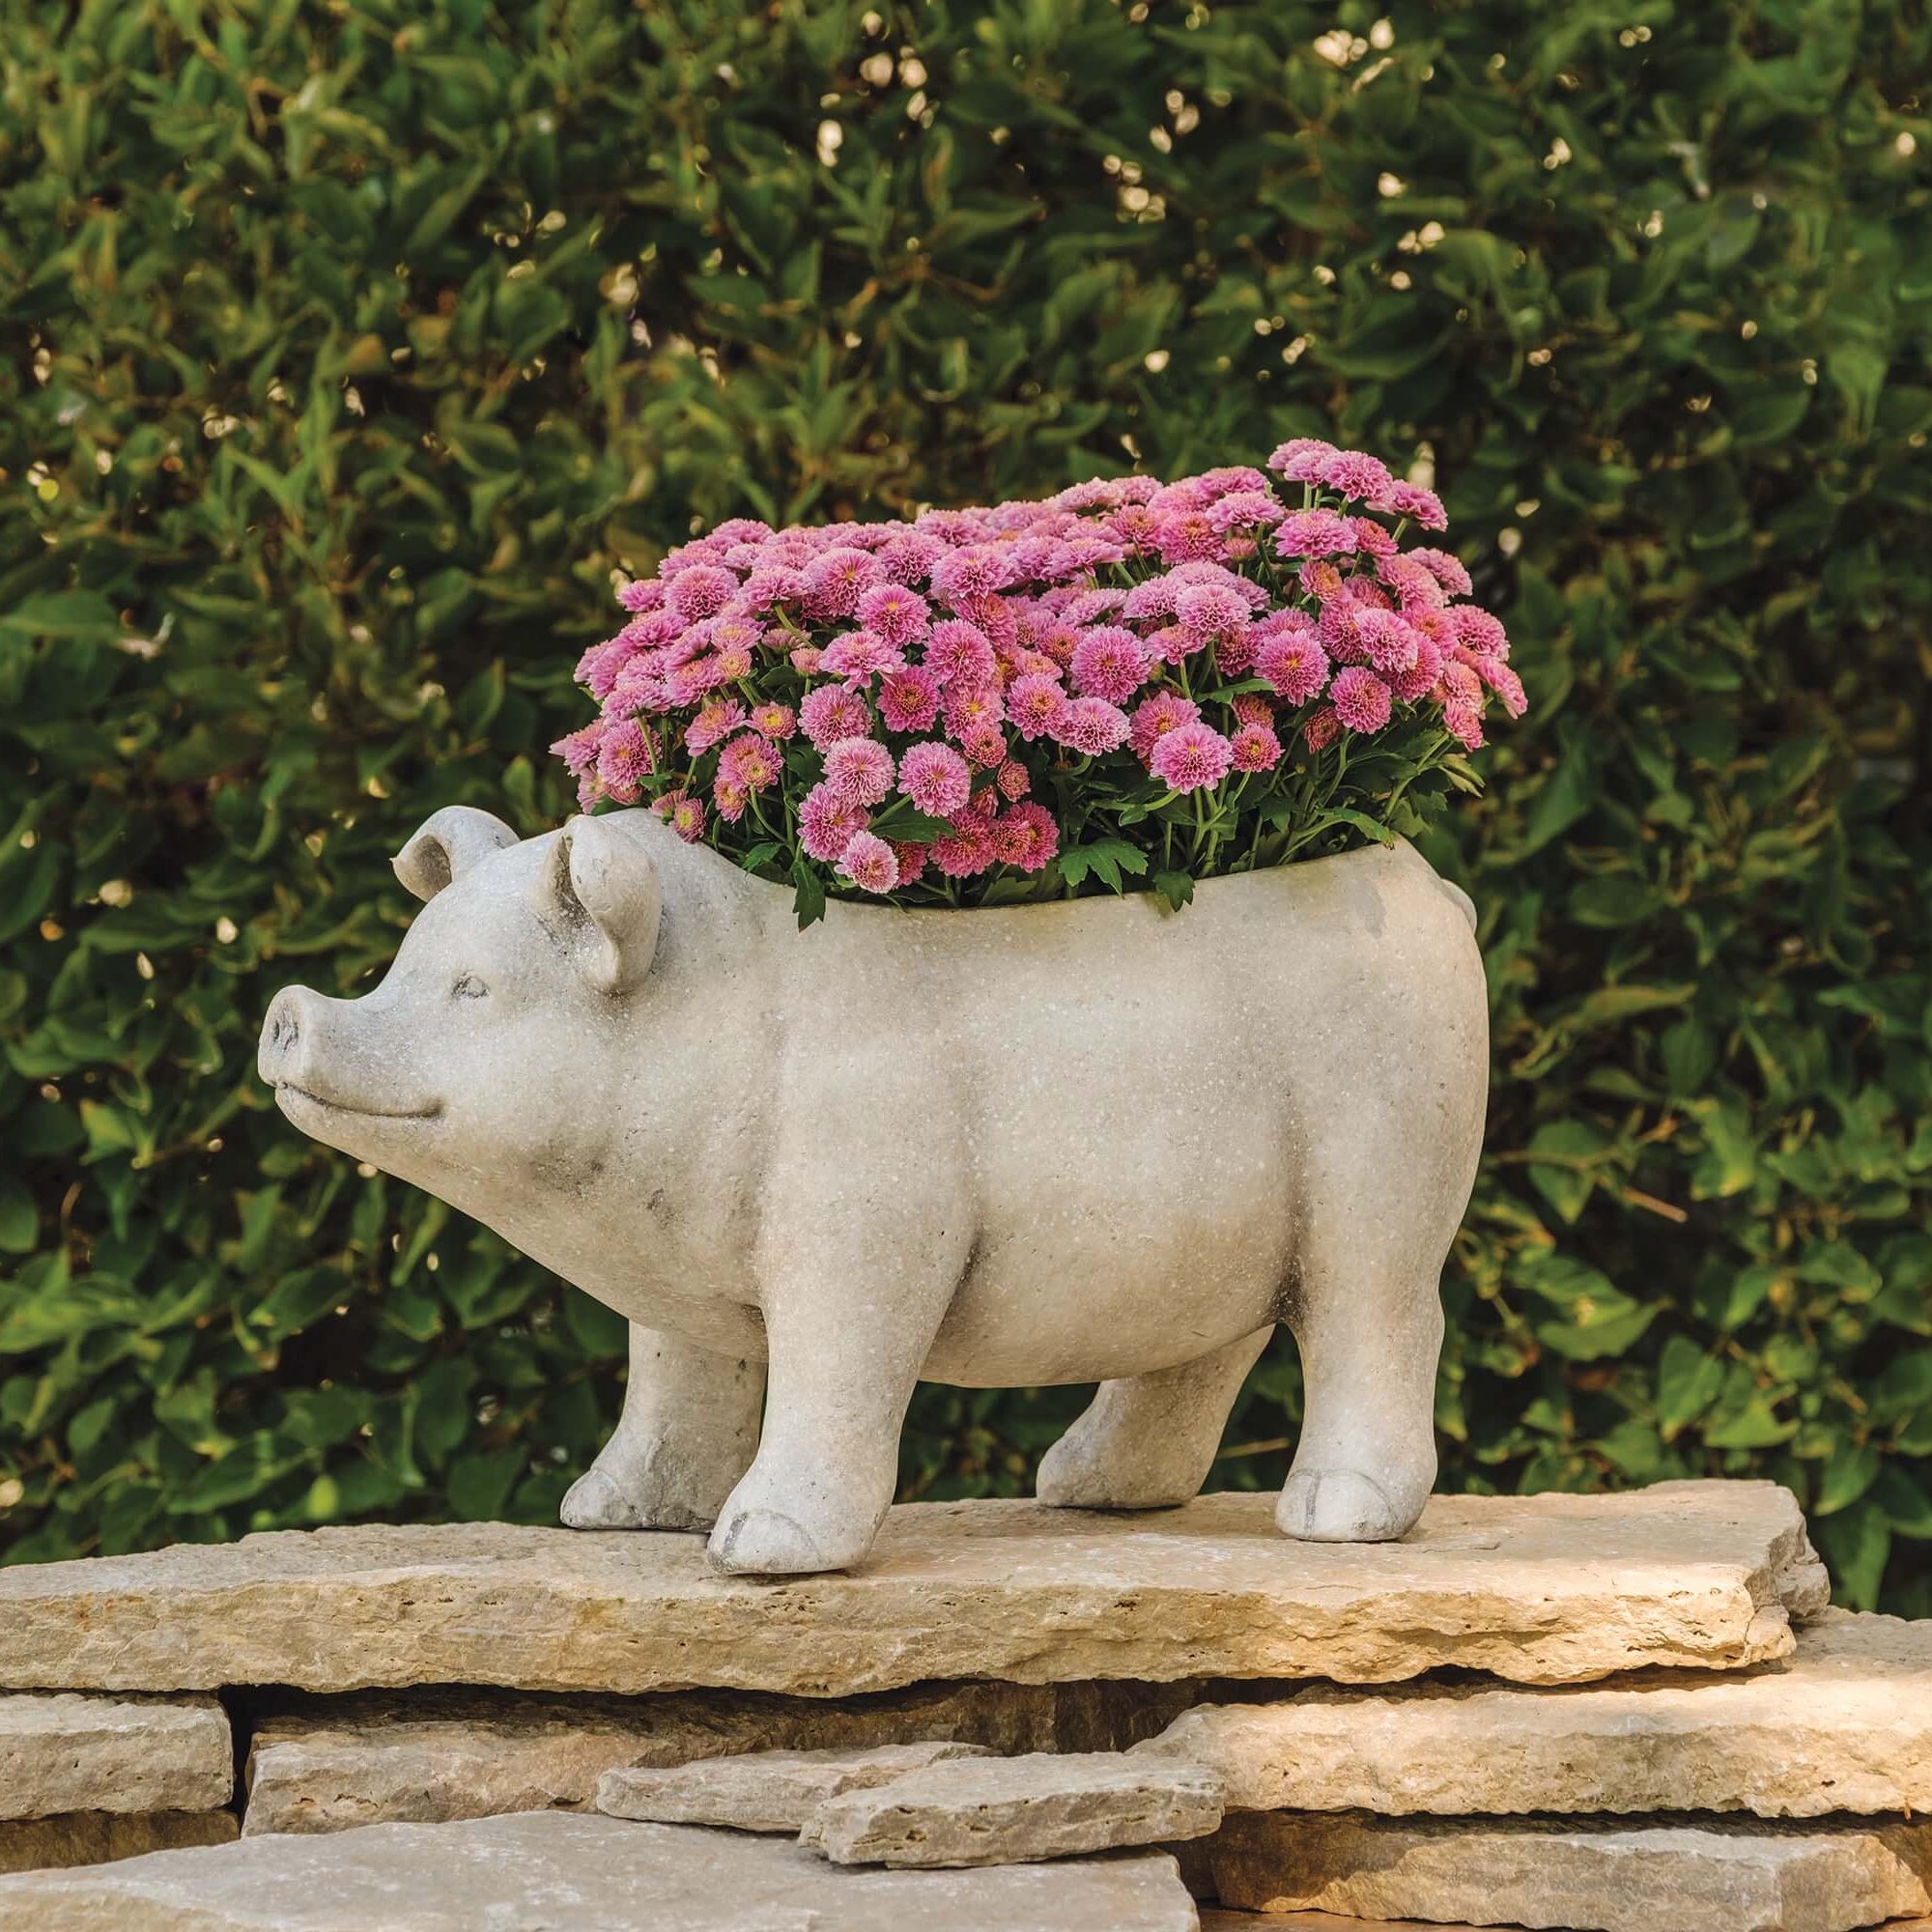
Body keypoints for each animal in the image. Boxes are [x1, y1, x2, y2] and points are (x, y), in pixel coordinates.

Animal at [258, 803, 1487, 1575]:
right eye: (402, 964)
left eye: (473, 989)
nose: (289, 1008)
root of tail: (1431, 889)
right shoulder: (682, 1297)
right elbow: (671, 1384)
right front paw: (605, 1515)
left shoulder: (865, 1229)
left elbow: (831, 1374)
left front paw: (757, 1550)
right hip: (1205, 1221)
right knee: (1207, 1347)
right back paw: (1077, 1488)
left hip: (1385, 1157)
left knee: (1381, 1321)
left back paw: (1331, 1515)